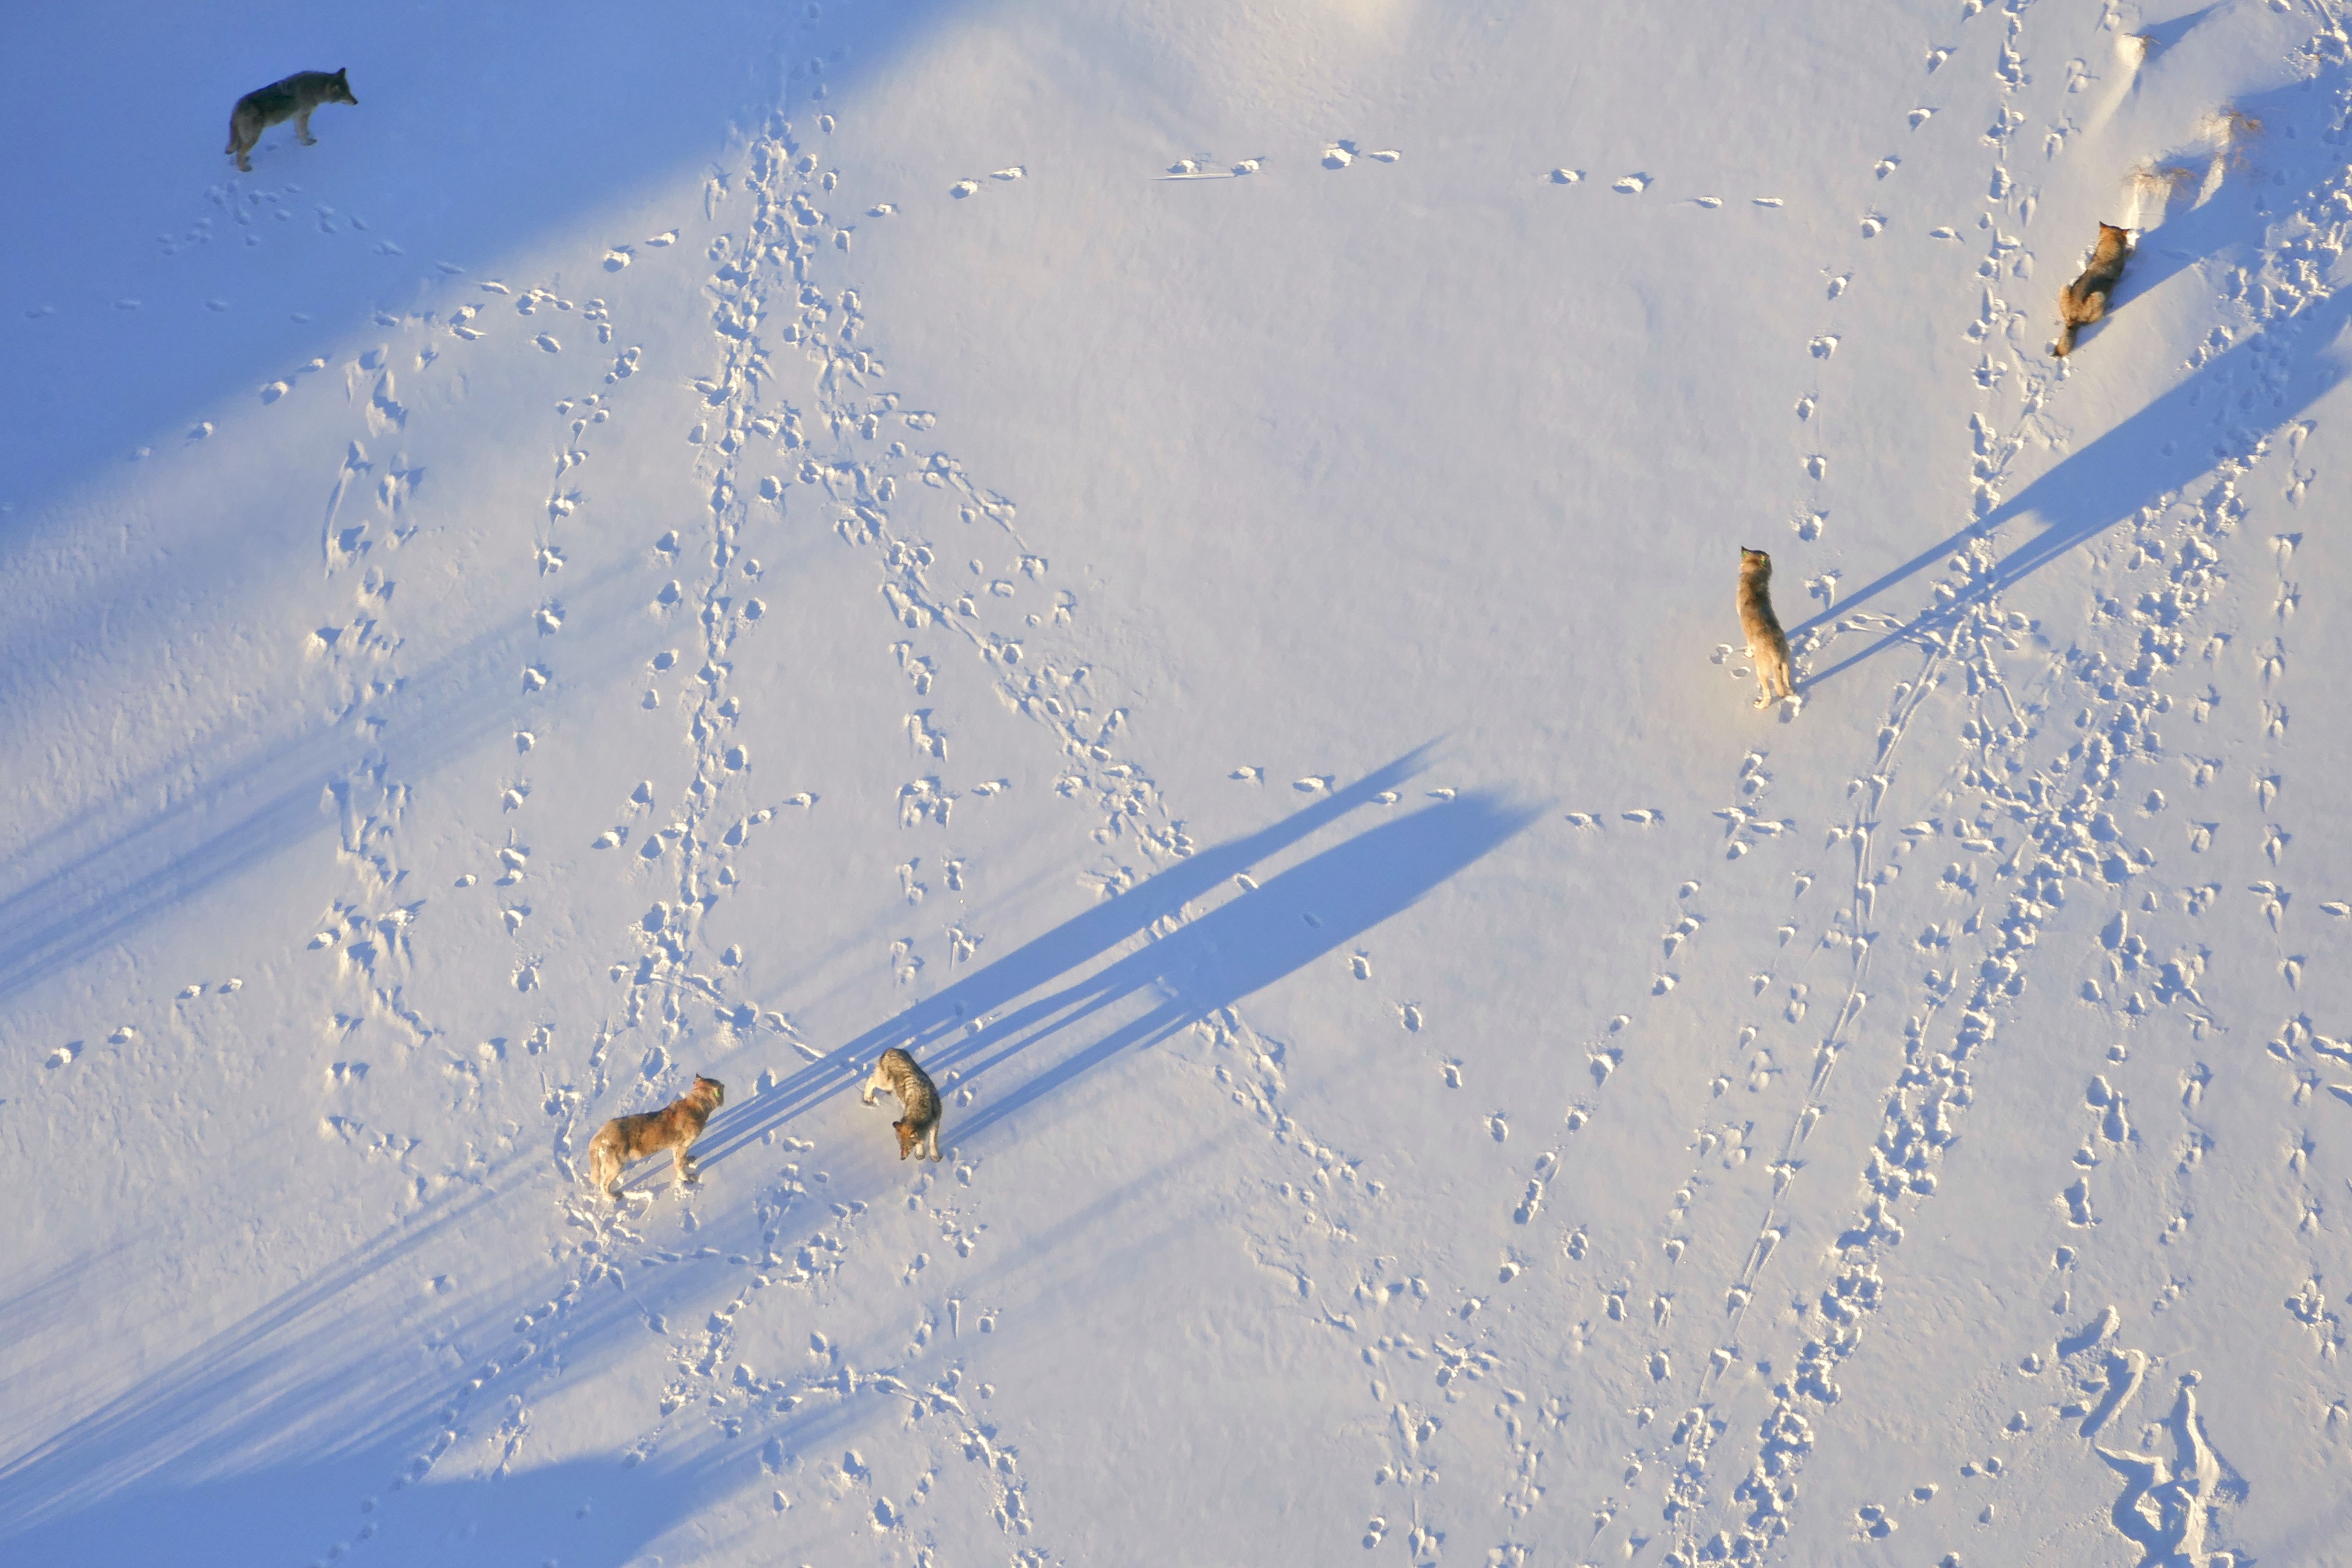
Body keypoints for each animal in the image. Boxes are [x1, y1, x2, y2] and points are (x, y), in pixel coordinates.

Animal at [226, 69, 357, 173]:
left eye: (350, 92)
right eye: (345, 95)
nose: (357, 102)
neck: (314, 89)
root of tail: (236, 108)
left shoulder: (297, 118)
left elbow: (300, 131)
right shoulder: (303, 117)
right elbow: (303, 133)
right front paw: (308, 143)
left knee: (239, 151)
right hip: (254, 138)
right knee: (239, 153)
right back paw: (244, 169)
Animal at [587, 1075, 725, 1201]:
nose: (725, 1085)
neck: (696, 1105)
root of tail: (598, 1136)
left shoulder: (679, 1147)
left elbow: (682, 1159)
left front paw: (689, 1160)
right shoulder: (681, 1146)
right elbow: (679, 1165)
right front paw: (687, 1178)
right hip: (616, 1166)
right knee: (604, 1184)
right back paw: (613, 1197)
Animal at [863, 1047, 943, 1161]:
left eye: (908, 1146)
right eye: (900, 1144)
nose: (902, 1158)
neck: (922, 1105)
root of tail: (891, 1049)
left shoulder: (936, 1124)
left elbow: (932, 1142)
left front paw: (935, 1156)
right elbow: (922, 1142)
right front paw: (920, 1155)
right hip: (886, 1084)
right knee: (871, 1080)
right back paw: (867, 1098)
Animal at [1738, 548, 1796, 710]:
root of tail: (1776, 652)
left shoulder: (1748, 636)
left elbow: (1749, 647)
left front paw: (1747, 654)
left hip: (1762, 671)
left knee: (1769, 694)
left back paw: (1760, 706)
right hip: (1786, 665)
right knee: (1788, 684)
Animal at [2054, 222, 2132, 357]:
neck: (2107, 252)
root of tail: (2073, 317)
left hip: (2065, 287)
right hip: (2099, 296)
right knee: (2093, 320)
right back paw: (2109, 306)